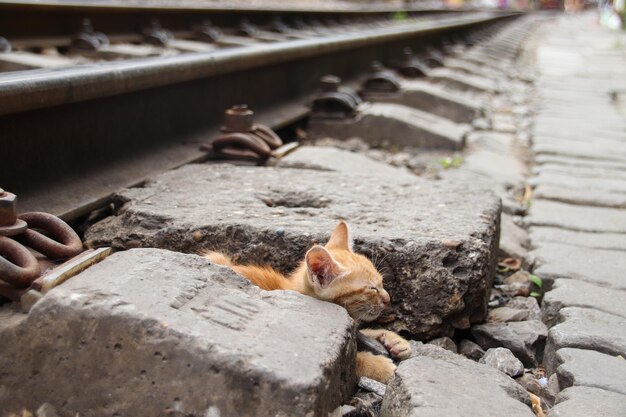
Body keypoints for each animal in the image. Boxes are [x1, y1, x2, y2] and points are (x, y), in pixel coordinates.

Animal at [202, 221, 412, 380]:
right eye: (372, 288)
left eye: (381, 283)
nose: (388, 299)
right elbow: (350, 363)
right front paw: (379, 366)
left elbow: (364, 332)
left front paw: (393, 340)